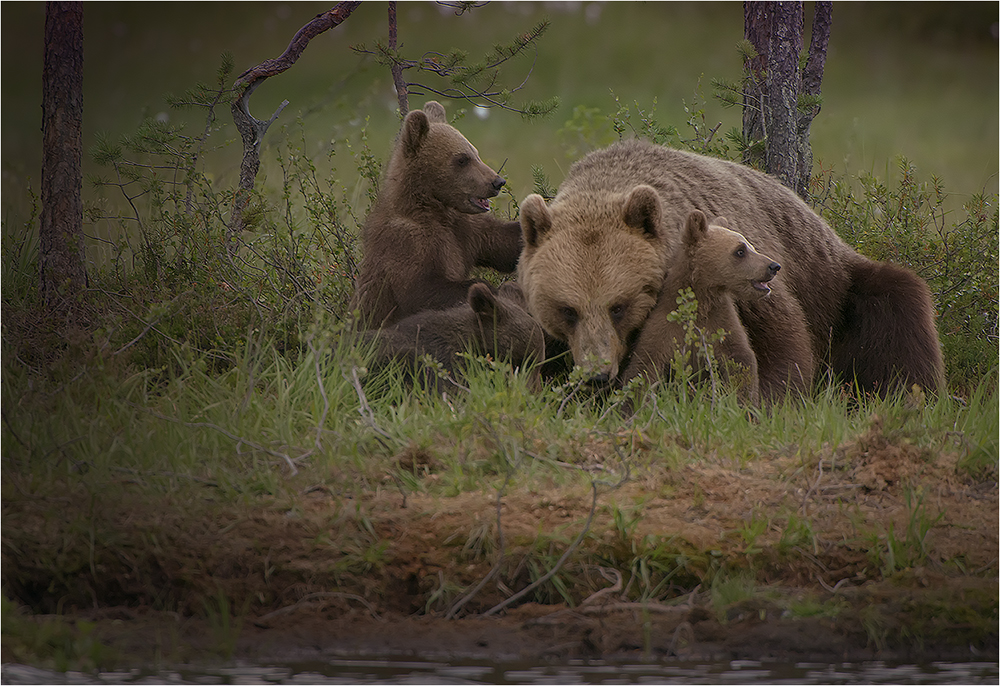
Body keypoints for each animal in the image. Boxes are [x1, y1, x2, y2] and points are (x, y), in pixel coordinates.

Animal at [354, 101, 524, 330]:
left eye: (476, 152)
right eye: (462, 159)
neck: (433, 209)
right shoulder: (407, 241)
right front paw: (486, 287)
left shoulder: (465, 230)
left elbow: (503, 243)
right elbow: (419, 290)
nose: (497, 182)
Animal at [624, 210, 796, 404]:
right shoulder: (664, 327)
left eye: (751, 246)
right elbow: (644, 366)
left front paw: (742, 402)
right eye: (740, 251)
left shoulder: (721, 322)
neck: (701, 301)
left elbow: (741, 360)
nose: (773, 266)